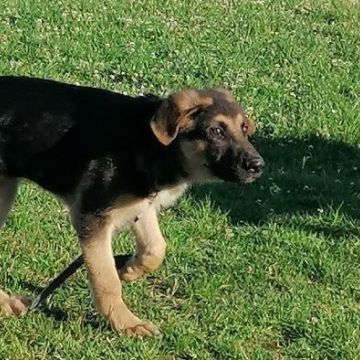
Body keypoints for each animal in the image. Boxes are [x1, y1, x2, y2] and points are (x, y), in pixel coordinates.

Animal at [0, 76, 264, 338]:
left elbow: (156, 247)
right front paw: (125, 323)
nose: (258, 166)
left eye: (244, 129)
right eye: (216, 130)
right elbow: (106, 280)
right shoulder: (91, 217)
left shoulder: (140, 205)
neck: (148, 145)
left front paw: (130, 270)